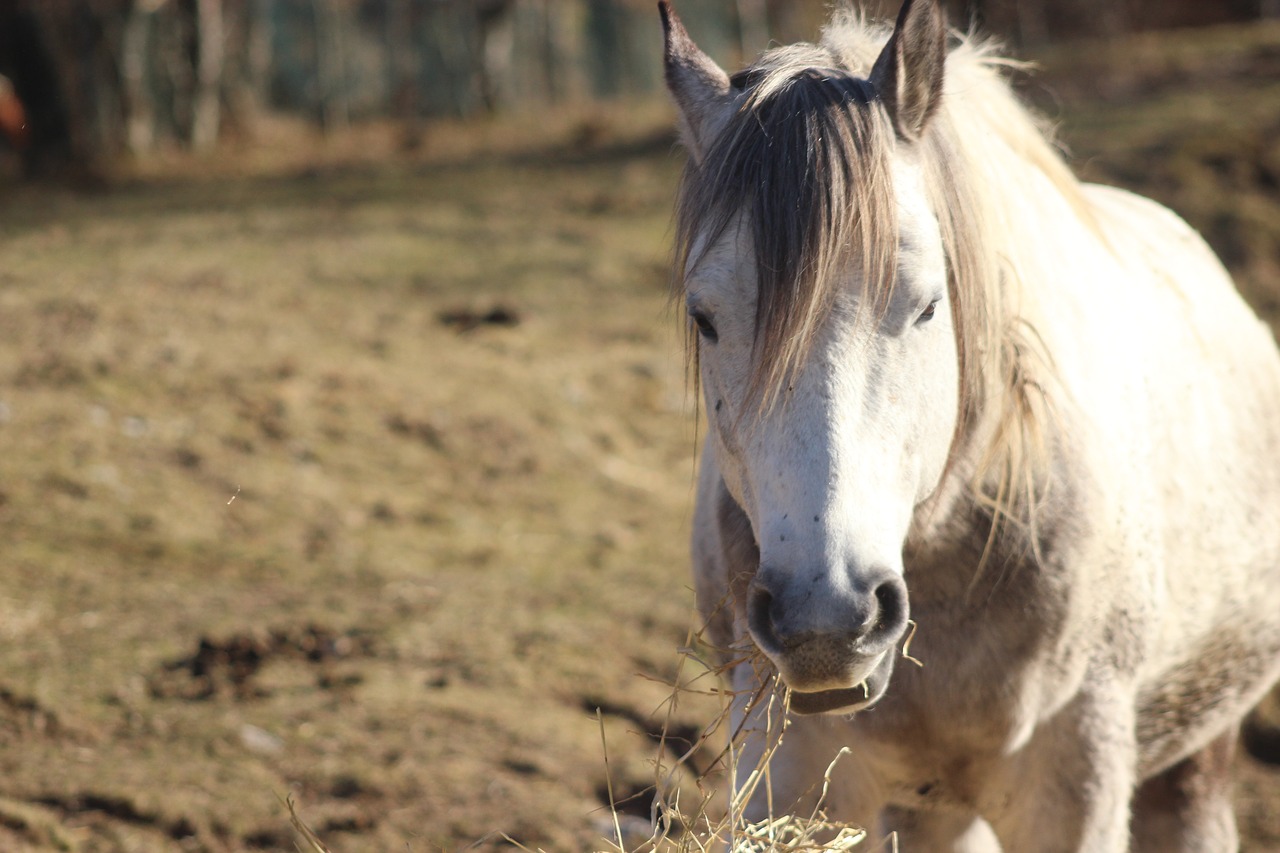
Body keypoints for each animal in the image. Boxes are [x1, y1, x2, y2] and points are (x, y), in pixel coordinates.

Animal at [665, 3, 1280, 845]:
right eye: (705, 317)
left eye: (928, 304)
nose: (825, 620)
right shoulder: (784, 776)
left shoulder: (1076, 778)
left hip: (1196, 754)